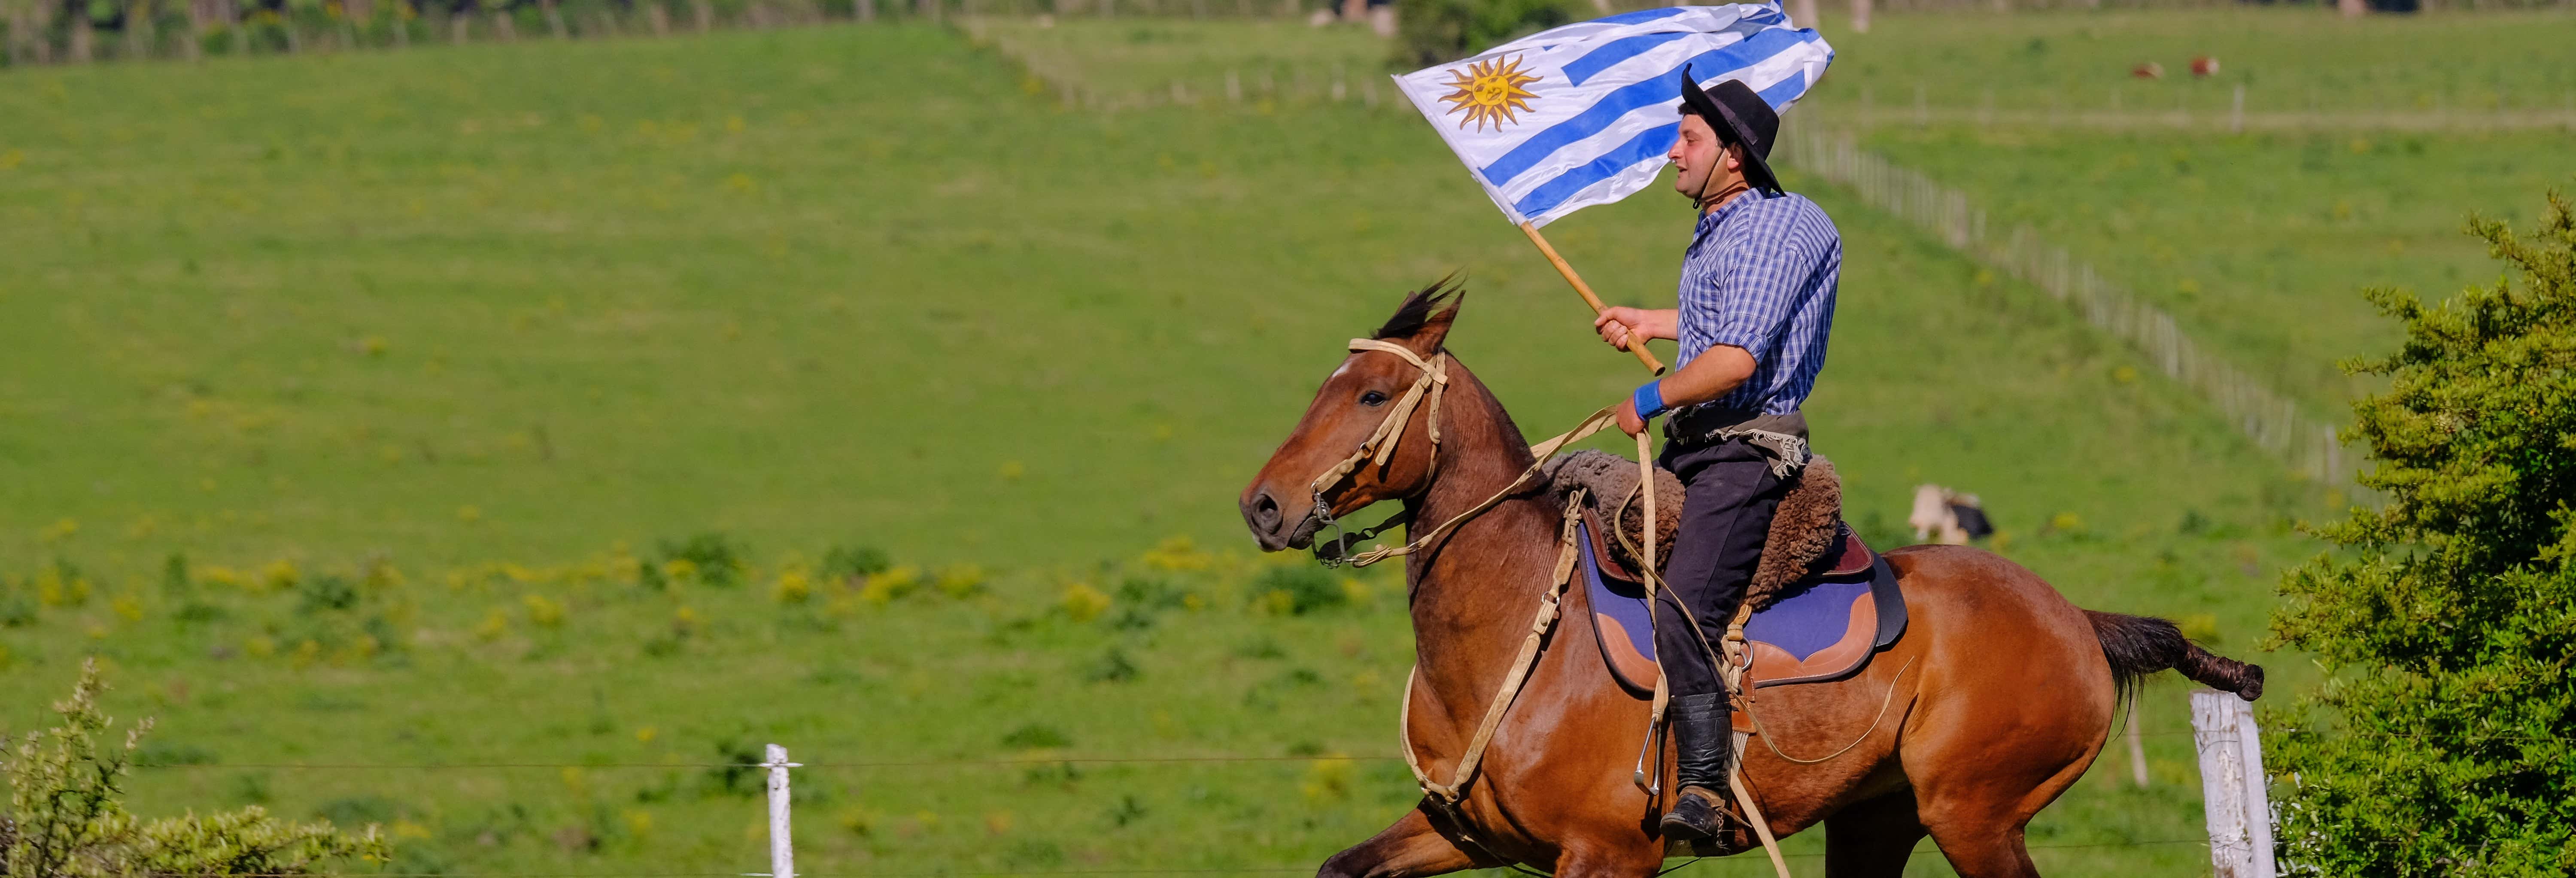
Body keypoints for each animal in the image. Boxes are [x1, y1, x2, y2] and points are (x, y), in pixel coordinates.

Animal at [1236, 286, 2267, 875]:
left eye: (1372, 395)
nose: (1263, 506)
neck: (1519, 630)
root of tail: (2076, 618)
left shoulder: (1607, 856)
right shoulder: (1462, 834)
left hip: (1976, 816)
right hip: (1879, 821)